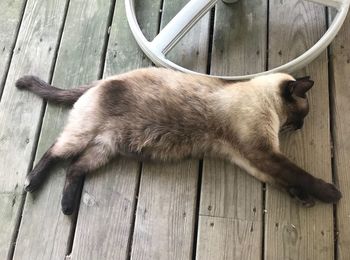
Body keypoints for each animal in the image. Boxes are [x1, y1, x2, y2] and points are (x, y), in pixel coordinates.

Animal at [15, 67, 342, 215]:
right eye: (302, 114)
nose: (300, 126)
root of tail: (101, 81)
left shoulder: (247, 157)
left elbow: (280, 179)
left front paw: (302, 197)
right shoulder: (261, 151)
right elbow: (298, 174)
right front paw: (330, 193)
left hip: (104, 149)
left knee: (74, 168)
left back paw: (67, 206)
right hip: (83, 136)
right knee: (56, 152)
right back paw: (33, 182)